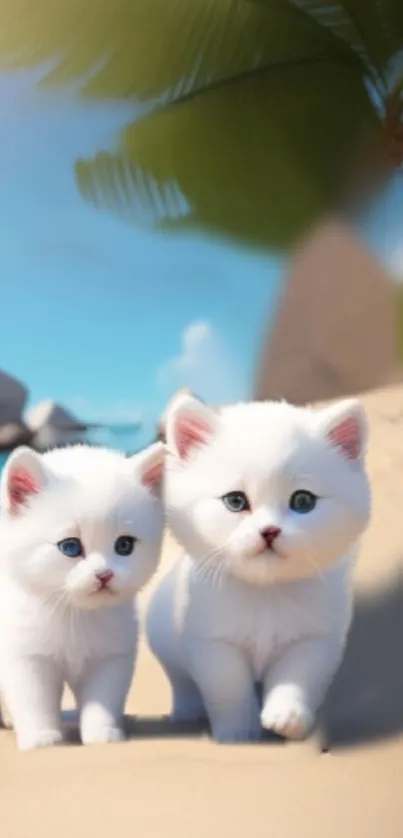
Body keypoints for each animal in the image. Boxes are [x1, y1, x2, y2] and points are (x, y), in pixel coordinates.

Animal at [0, 442, 166, 752]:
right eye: (70, 547)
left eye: (124, 545)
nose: (104, 575)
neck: (74, 615)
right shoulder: (25, 654)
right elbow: (33, 699)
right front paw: (41, 737)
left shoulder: (110, 655)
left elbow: (103, 698)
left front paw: (103, 733)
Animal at [148, 398, 372, 744]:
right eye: (235, 501)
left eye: (303, 501)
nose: (269, 531)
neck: (267, 594)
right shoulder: (214, 644)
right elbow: (229, 690)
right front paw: (237, 733)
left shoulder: (315, 640)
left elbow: (298, 679)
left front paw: (286, 718)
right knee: (182, 682)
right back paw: (187, 711)